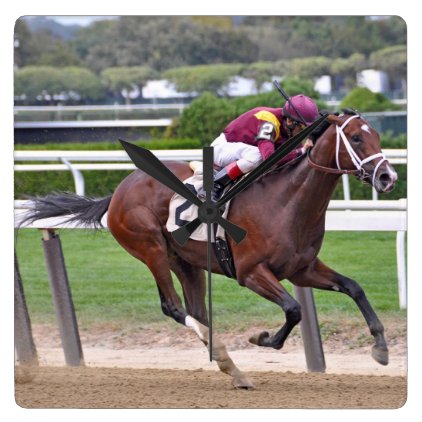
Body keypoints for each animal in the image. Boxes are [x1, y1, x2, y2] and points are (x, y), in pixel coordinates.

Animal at [23, 111, 398, 390]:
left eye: (378, 135)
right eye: (356, 138)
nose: (388, 177)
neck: (287, 201)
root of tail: (117, 192)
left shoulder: (301, 269)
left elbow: (353, 287)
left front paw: (380, 347)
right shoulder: (251, 272)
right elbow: (293, 309)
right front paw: (262, 338)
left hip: (186, 262)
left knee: (196, 310)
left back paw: (231, 366)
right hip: (151, 248)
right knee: (174, 307)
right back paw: (225, 356)